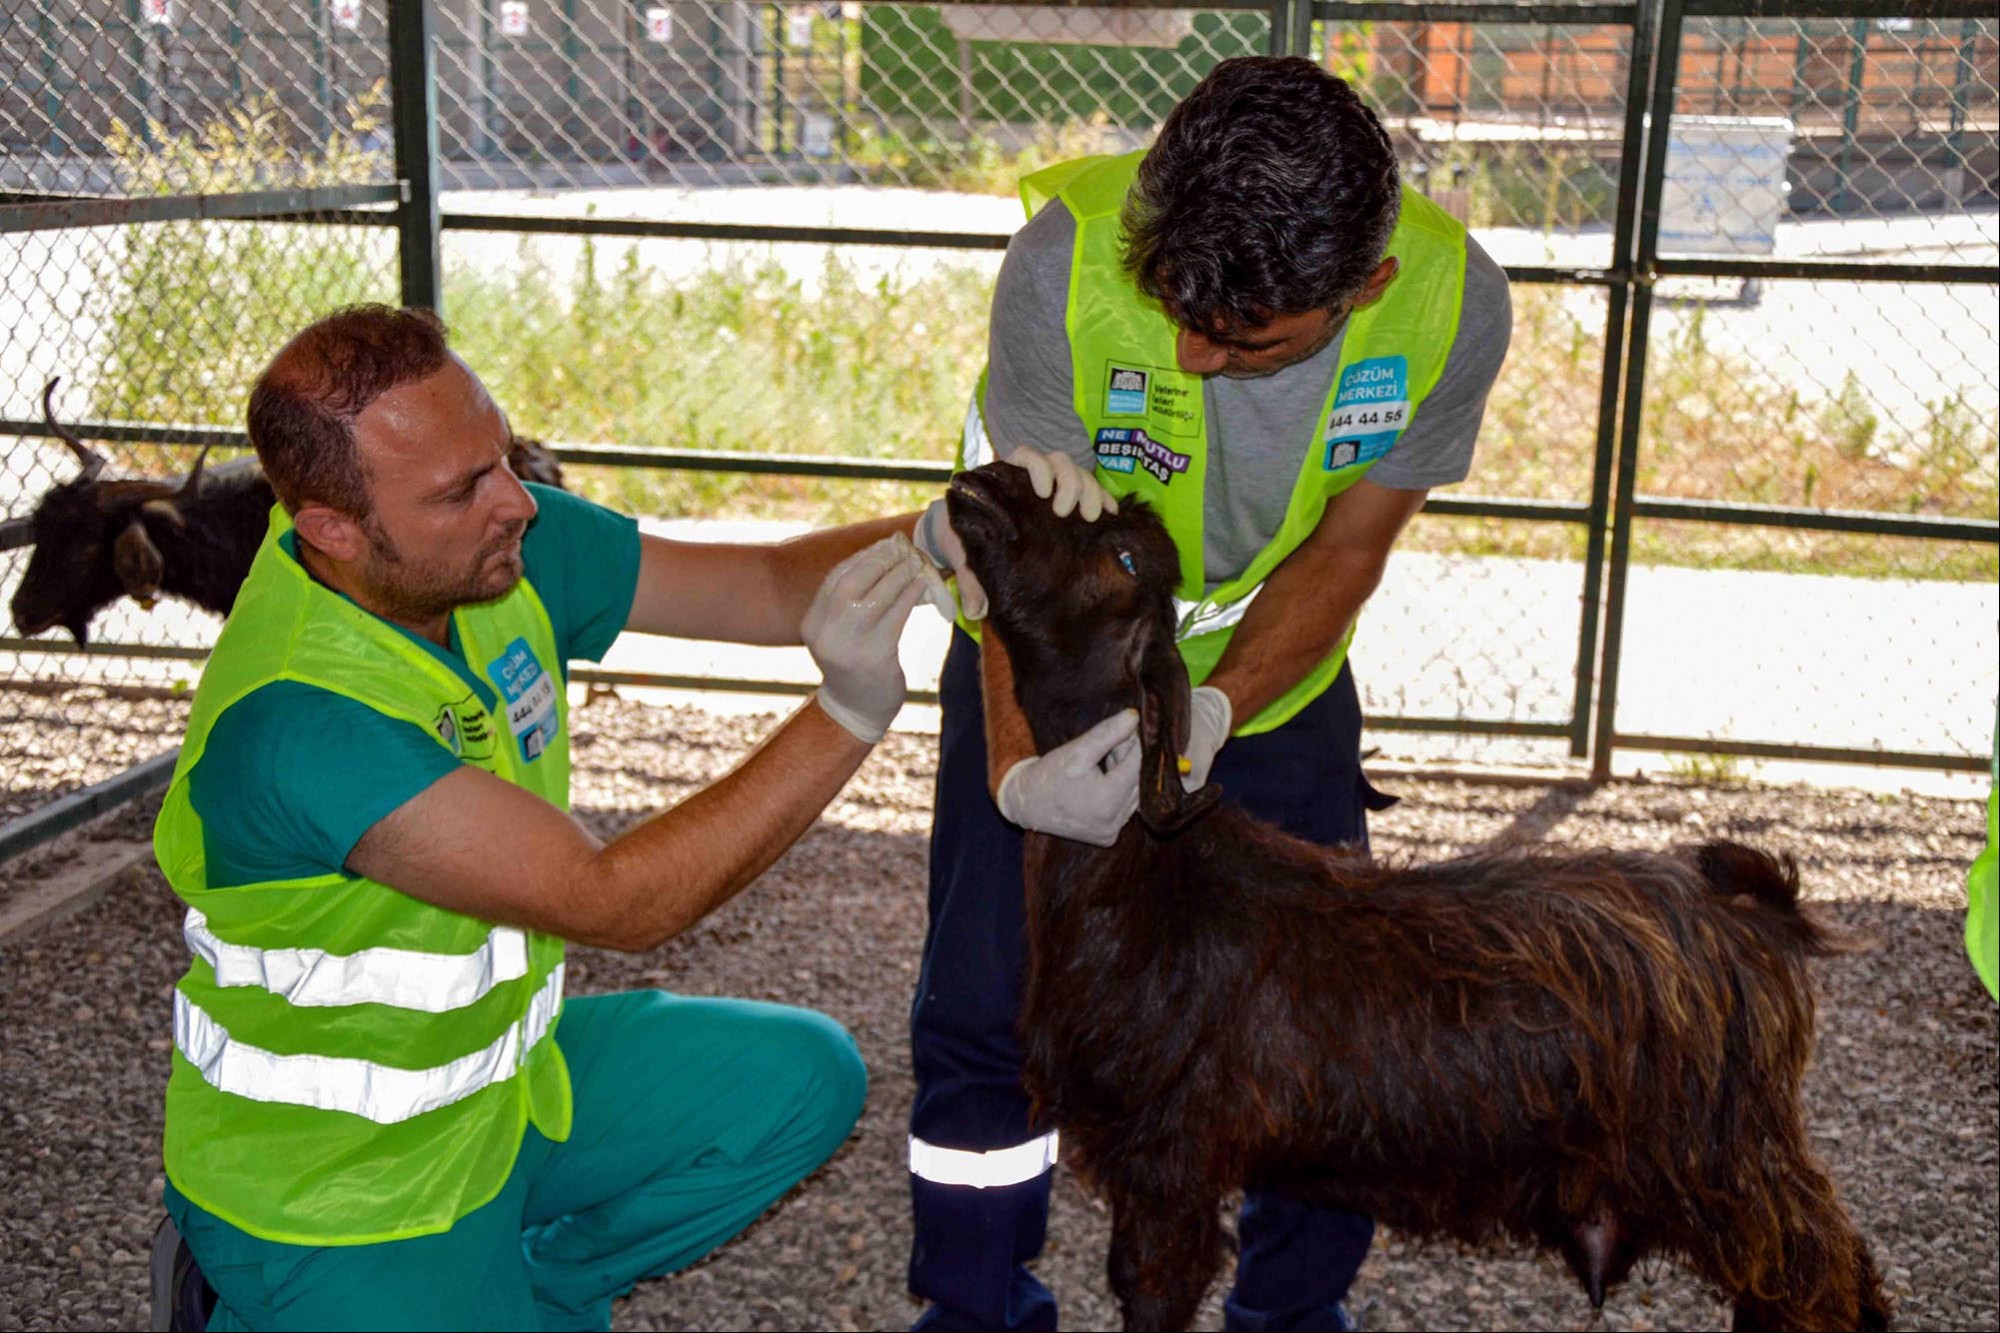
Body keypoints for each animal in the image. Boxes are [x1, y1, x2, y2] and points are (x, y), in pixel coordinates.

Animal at [944, 460, 1880, 1328]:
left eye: (1127, 556)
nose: (994, 477)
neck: (1148, 874)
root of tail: (1753, 915)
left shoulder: (1171, 1153)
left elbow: (1154, 1289)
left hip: (1724, 1156)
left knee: (1823, 1270)